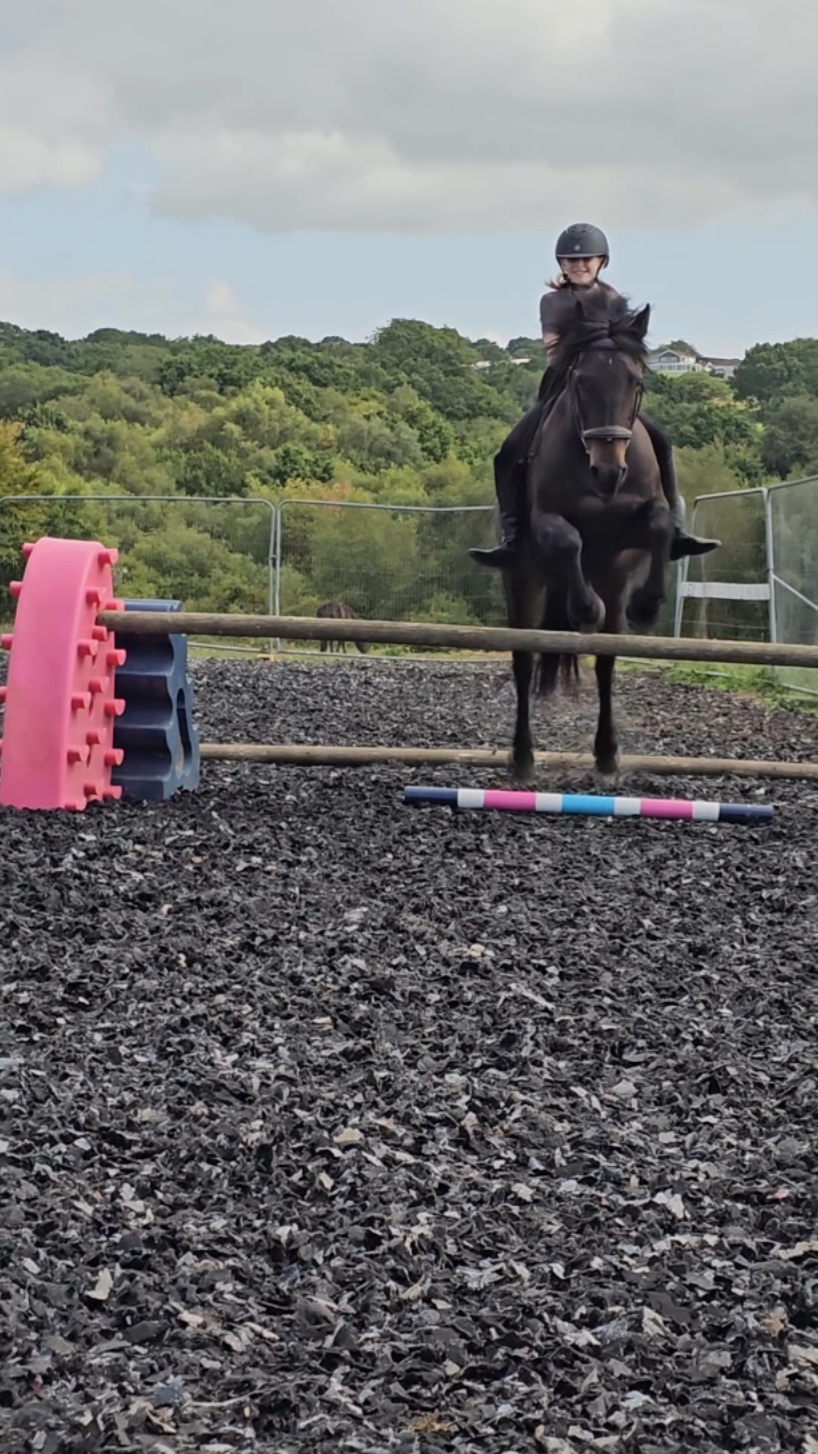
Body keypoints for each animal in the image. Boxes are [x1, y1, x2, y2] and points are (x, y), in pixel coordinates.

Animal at [494, 288, 674, 782]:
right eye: (580, 383)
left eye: (635, 382)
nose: (608, 471)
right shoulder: (546, 520)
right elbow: (568, 539)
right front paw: (584, 608)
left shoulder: (639, 522)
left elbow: (661, 524)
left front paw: (647, 605)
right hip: (522, 582)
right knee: (523, 660)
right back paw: (522, 758)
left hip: (610, 581)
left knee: (606, 662)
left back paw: (606, 754)